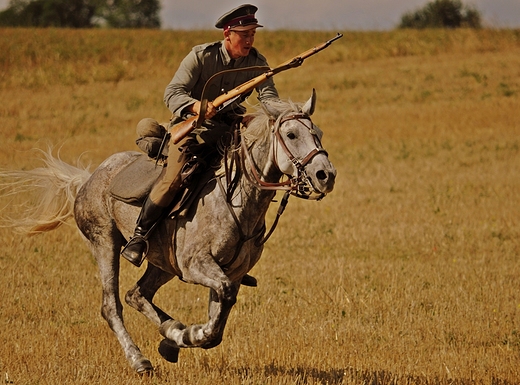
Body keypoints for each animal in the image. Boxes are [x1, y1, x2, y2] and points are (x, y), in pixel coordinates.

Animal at [0, 91, 338, 372]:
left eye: (319, 133)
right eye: (291, 134)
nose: (326, 175)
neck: (237, 198)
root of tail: (88, 178)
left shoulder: (232, 272)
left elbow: (220, 316)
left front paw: (177, 338)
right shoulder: (196, 266)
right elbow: (219, 310)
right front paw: (190, 334)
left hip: (162, 262)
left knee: (137, 294)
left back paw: (170, 332)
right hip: (105, 244)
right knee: (112, 305)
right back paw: (139, 360)